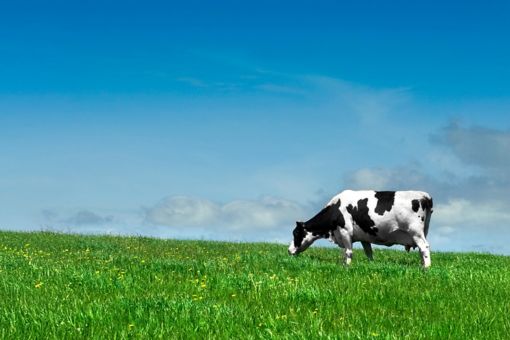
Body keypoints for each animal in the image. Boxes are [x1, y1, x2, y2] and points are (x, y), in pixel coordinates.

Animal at [288, 190, 432, 266]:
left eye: (295, 233)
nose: (289, 251)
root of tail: (424, 196)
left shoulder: (345, 231)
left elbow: (348, 251)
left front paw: (346, 266)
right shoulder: (364, 236)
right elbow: (369, 252)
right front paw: (371, 265)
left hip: (415, 231)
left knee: (424, 247)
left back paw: (426, 268)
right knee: (421, 250)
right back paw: (422, 265)